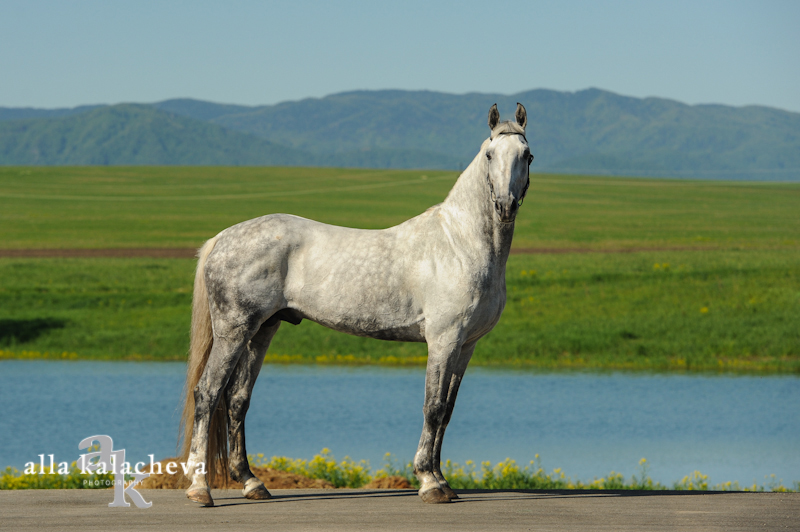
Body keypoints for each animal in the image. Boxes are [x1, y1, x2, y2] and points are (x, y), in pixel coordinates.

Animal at [180, 104, 532, 508]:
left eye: (527, 155)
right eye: (490, 155)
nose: (505, 207)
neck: (459, 244)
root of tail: (221, 238)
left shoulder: (466, 346)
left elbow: (446, 411)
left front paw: (443, 482)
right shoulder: (443, 341)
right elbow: (432, 407)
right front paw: (429, 482)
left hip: (261, 330)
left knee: (238, 399)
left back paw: (253, 483)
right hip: (233, 331)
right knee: (207, 394)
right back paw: (200, 488)